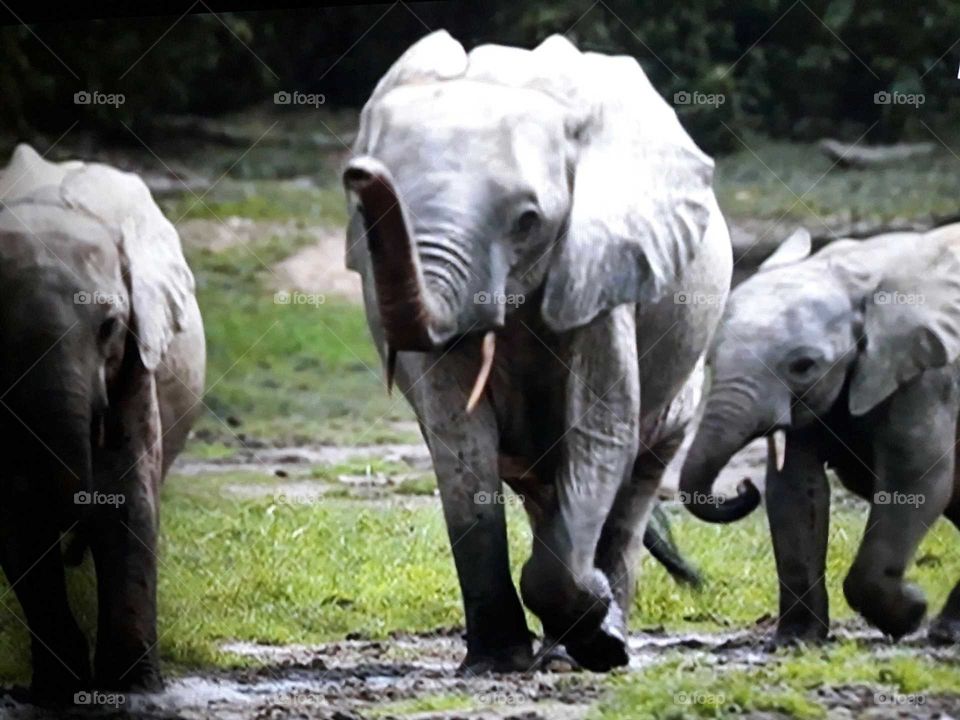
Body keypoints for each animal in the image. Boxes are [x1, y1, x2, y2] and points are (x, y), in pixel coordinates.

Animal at [0, 144, 205, 700]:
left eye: (110, 325)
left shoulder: (138, 352)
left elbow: (127, 497)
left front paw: (133, 688)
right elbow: (17, 513)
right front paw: (59, 691)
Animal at [343, 31, 732, 672]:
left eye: (527, 221)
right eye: (364, 218)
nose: (360, 171)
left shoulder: (604, 260)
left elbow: (601, 427)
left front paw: (594, 620)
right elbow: (460, 443)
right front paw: (497, 663)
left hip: (684, 386)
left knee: (634, 482)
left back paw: (598, 637)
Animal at [679, 223, 960, 645]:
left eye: (803, 365)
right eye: (711, 359)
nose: (743, 486)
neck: (857, 276)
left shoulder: (929, 378)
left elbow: (916, 478)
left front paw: (911, 612)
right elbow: (795, 488)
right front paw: (797, 640)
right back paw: (947, 630)